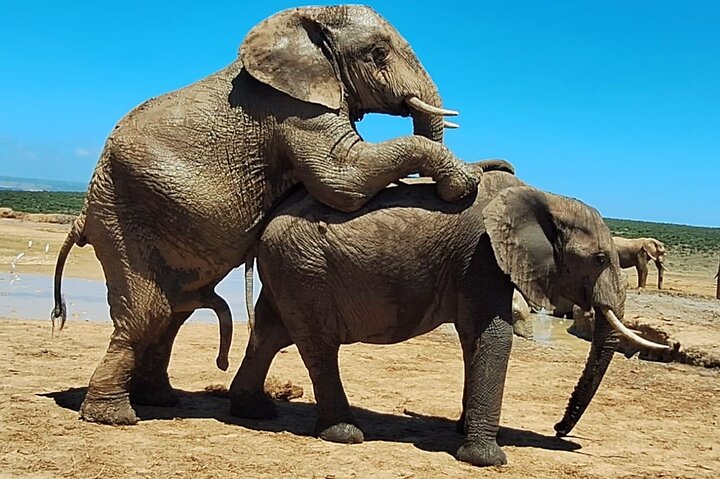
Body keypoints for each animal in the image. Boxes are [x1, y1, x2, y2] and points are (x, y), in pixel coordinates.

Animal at [49, 5, 480, 425]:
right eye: (378, 53)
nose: (455, 189)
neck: (308, 19)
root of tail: (83, 215)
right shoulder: (295, 110)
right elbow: (342, 179)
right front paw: (465, 182)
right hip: (120, 216)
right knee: (148, 314)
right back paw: (113, 417)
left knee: (173, 313)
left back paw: (159, 401)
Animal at [230, 164, 669, 467]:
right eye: (599, 260)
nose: (558, 429)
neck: (544, 197)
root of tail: (266, 221)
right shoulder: (482, 256)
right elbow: (492, 335)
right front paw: (487, 460)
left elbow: (473, 338)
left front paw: (463, 431)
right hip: (304, 269)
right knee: (318, 345)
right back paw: (344, 434)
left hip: (288, 267)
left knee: (270, 333)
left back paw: (253, 411)